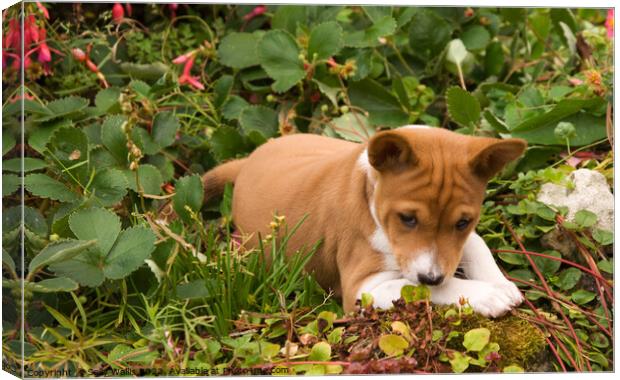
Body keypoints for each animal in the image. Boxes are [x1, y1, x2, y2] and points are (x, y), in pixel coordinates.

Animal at [203, 126, 528, 316]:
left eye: (462, 223)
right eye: (407, 219)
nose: (432, 275)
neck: (368, 191)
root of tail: (247, 161)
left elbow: (477, 244)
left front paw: (501, 283)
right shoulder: (361, 288)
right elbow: (418, 288)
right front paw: (487, 294)